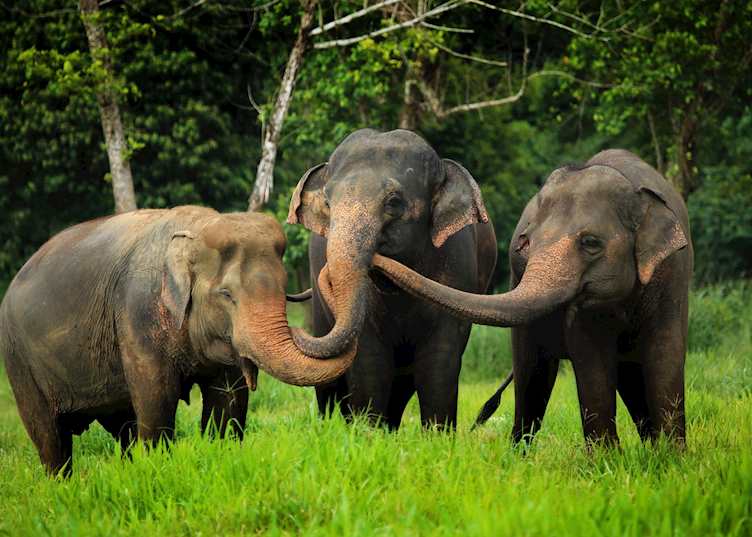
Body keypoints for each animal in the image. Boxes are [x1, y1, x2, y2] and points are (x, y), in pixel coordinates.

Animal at [0, 206, 356, 476]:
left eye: (284, 288)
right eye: (226, 295)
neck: (197, 229)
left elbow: (227, 400)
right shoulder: (136, 314)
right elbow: (157, 398)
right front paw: (158, 470)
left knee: (121, 425)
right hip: (17, 359)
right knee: (50, 436)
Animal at [287, 128, 497, 430]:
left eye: (393, 202)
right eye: (327, 203)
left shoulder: (457, 267)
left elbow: (439, 361)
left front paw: (438, 436)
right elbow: (370, 362)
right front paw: (366, 433)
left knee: (402, 384)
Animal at [372, 149, 693, 445]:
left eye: (591, 242)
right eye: (525, 243)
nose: (376, 256)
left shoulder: (673, 274)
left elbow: (666, 354)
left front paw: (670, 459)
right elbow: (592, 362)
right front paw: (610, 461)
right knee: (532, 377)